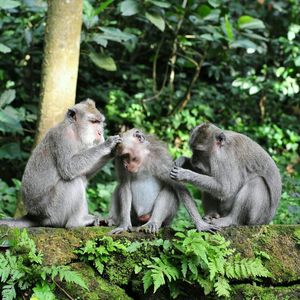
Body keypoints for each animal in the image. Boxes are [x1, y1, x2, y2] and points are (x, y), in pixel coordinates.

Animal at [0, 99, 122, 229]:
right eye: (93, 122)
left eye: (99, 122)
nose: (100, 133)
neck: (75, 131)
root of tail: (33, 216)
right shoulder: (64, 137)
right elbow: (68, 168)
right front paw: (107, 145)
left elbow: (85, 173)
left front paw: (113, 151)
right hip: (53, 211)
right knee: (73, 182)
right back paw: (77, 222)